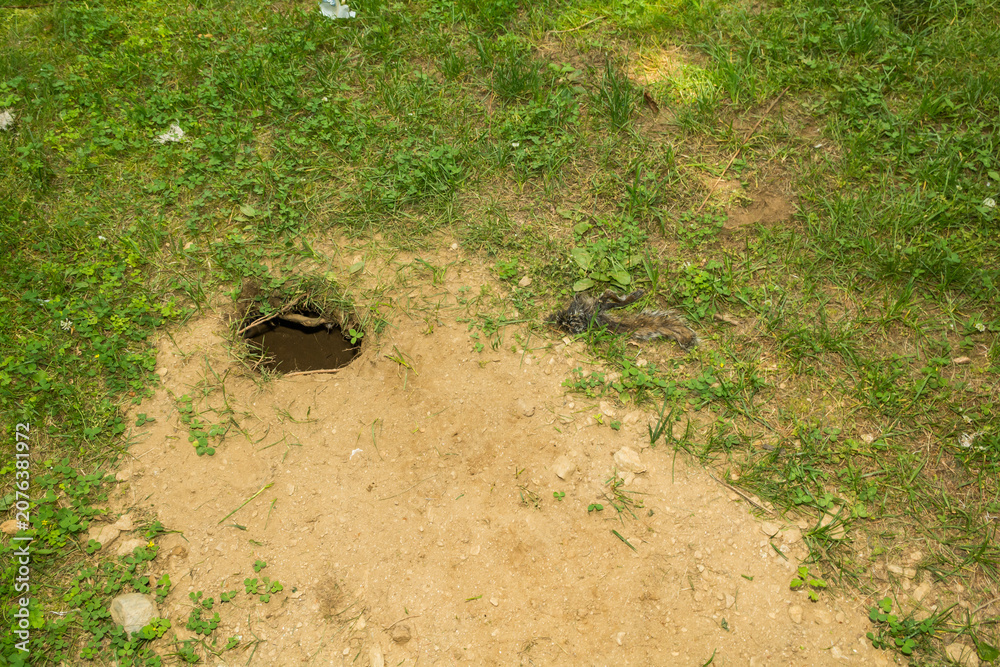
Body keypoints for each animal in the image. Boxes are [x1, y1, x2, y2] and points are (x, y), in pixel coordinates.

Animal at [548, 289, 698, 350]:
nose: (556, 319)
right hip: (598, 306)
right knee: (610, 298)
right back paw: (635, 295)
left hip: (595, 305)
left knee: (609, 296)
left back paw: (635, 294)